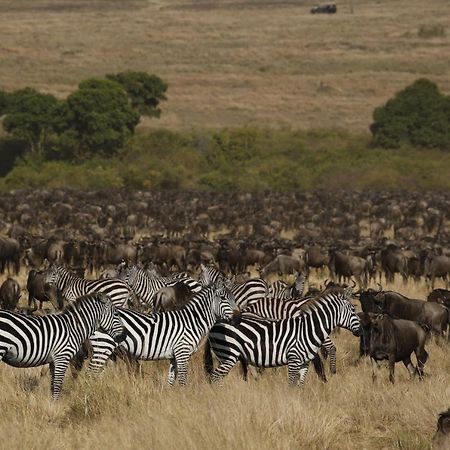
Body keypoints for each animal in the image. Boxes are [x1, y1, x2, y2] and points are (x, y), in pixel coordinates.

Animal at [89, 284, 241, 384]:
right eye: (223, 298)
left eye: (234, 298)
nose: (238, 318)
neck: (192, 321)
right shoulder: (182, 351)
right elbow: (183, 379)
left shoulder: (174, 355)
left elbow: (171, 380)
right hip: (104, 345)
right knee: (93, 370)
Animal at [206, 286, 360, 384]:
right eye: (353, 310)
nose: (360, 331)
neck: (307, 329)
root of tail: (217, 322)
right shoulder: (293, 360)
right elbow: (291, 385)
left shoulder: (304, 363)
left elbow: (300, 385)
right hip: (228, 355)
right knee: (215, 378)